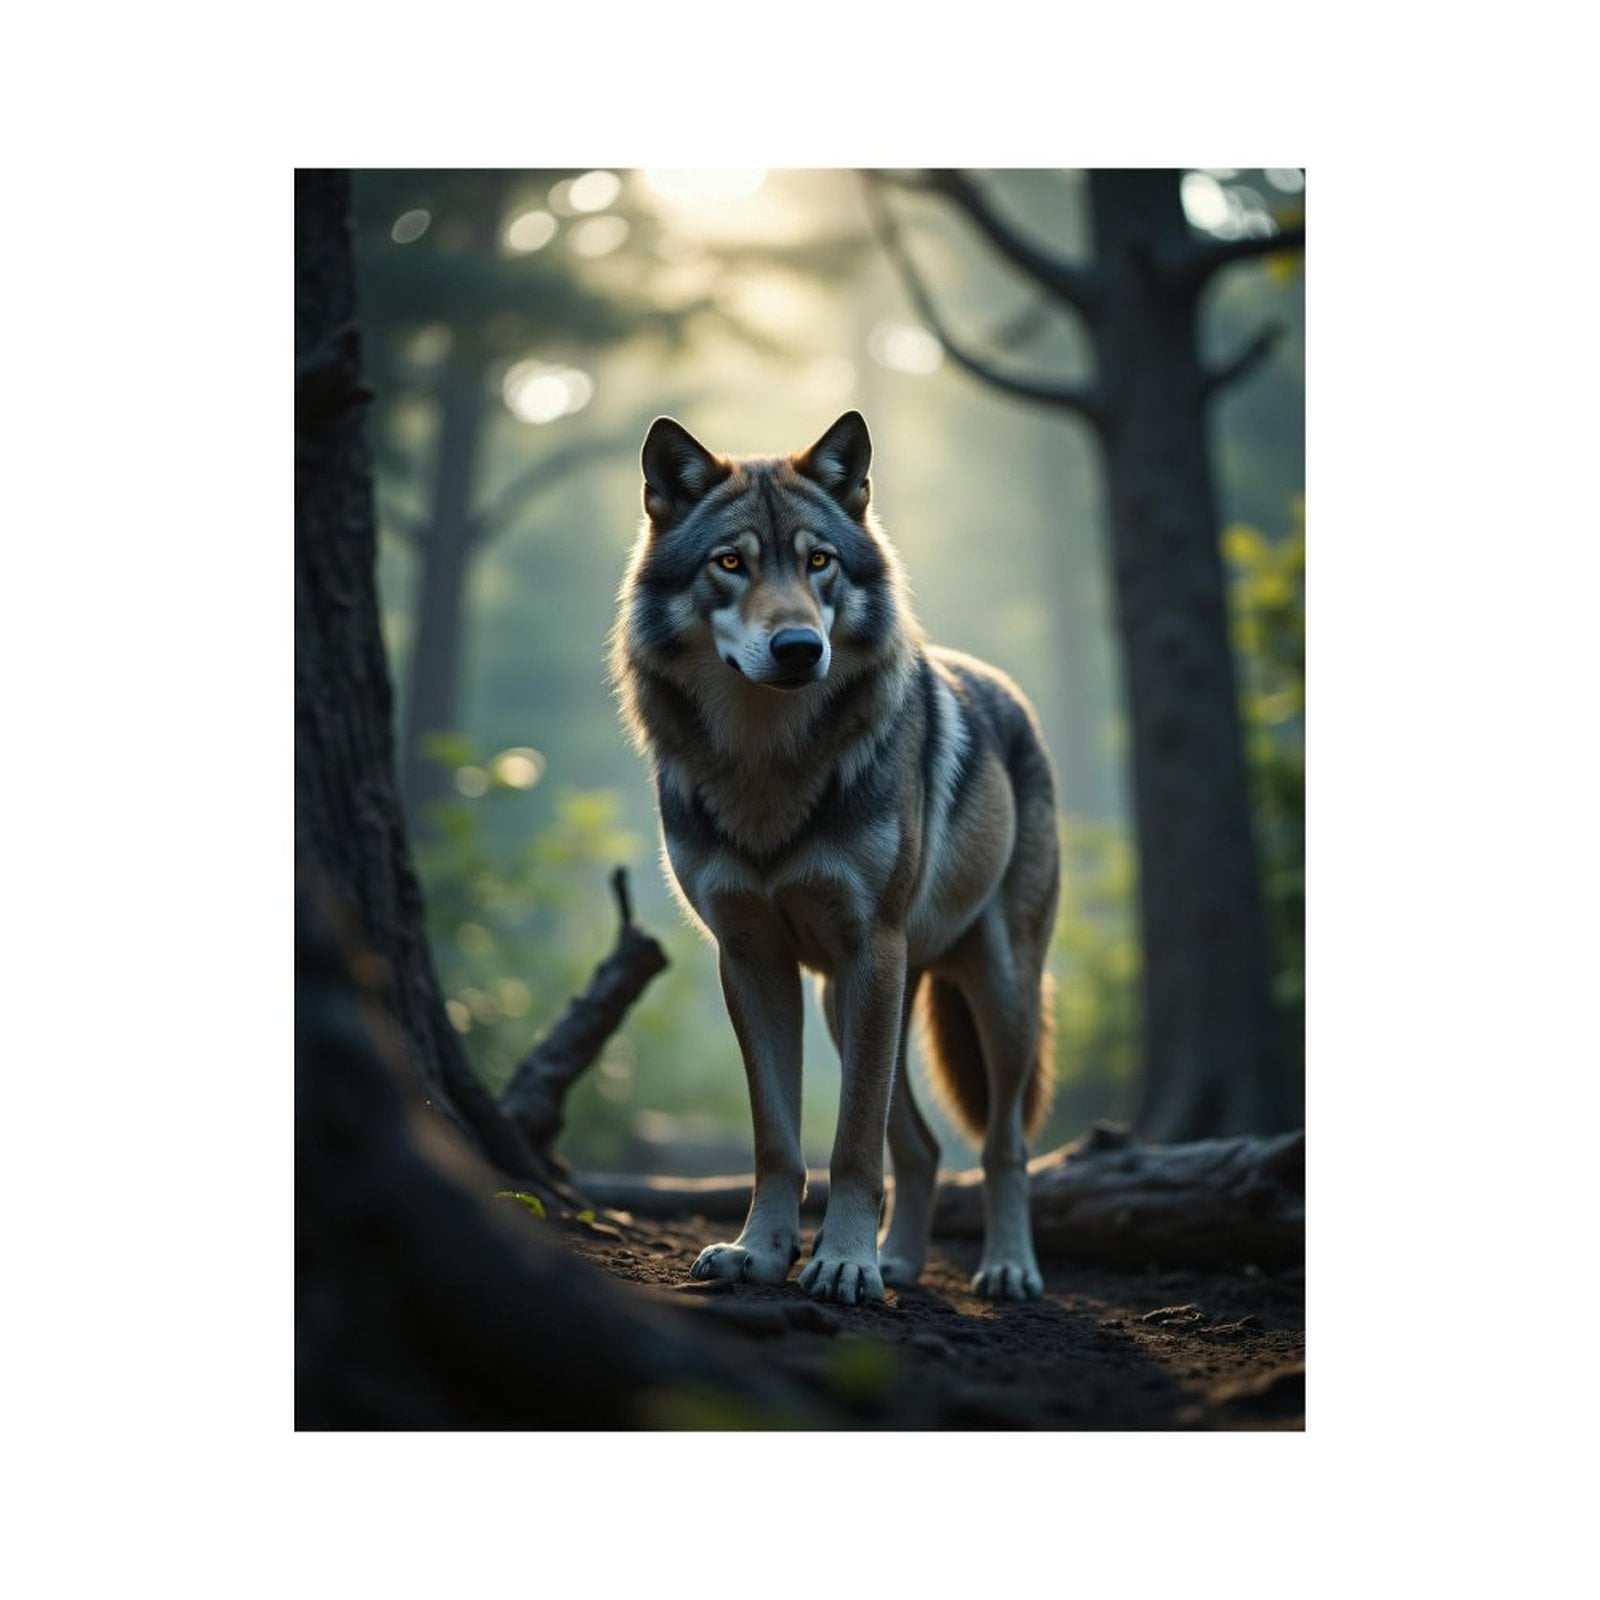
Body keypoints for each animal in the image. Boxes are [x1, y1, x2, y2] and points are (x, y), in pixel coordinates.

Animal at [611, 411, 1060, 1304]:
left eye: (819, 561)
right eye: (730, 563)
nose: (796, 648)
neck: (766, 765)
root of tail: (1006, 689)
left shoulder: (869, 948)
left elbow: (852, 1143)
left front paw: (844, 1262)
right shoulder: (751, 958)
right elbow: (778, 1139)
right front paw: (760, 1252)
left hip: (992, 991)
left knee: (1004, 1144)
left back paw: (1006, 1267)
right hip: (849, 1000)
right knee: (921, 1146)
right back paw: (902, 1262)